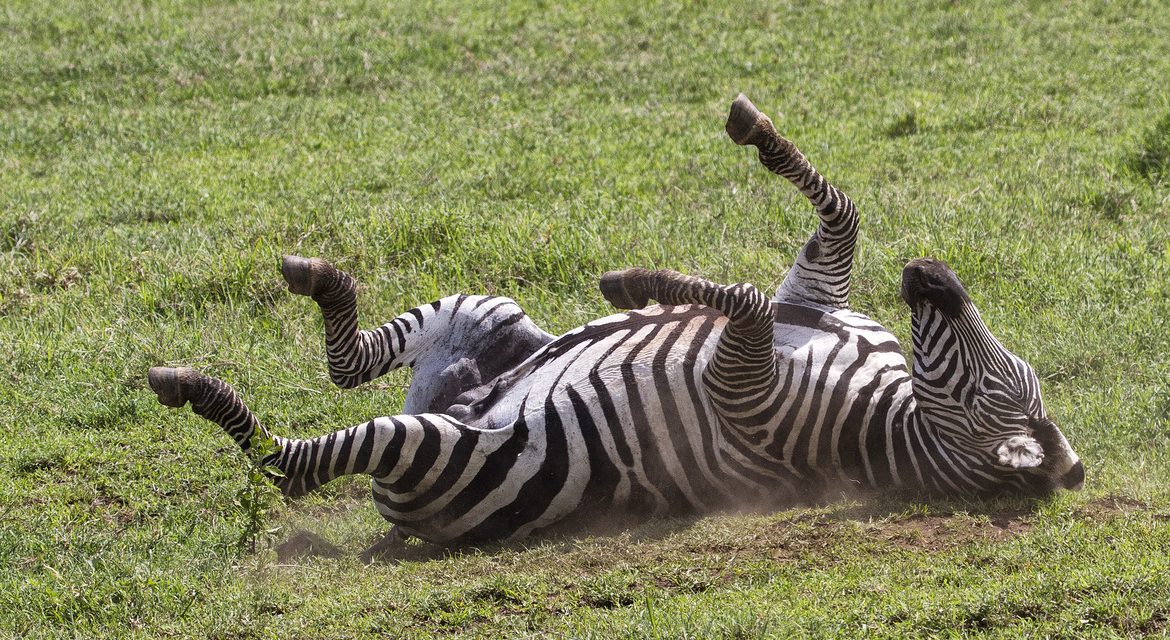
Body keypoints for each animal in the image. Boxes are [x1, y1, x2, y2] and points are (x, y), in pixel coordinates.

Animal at [148, 94, 1083, 549]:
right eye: (1006, 367)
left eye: (992, 387)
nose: (931, 275)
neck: (885, 407)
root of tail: (452, 406)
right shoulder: (816, 295)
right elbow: (842, 213)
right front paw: (752, 131)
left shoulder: (740, 386)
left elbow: (747, 300)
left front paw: (635, 279)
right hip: (485, 314)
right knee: (349, 363)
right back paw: (320, 279)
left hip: (431, 450)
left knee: (293, 465)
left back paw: (189, 385)